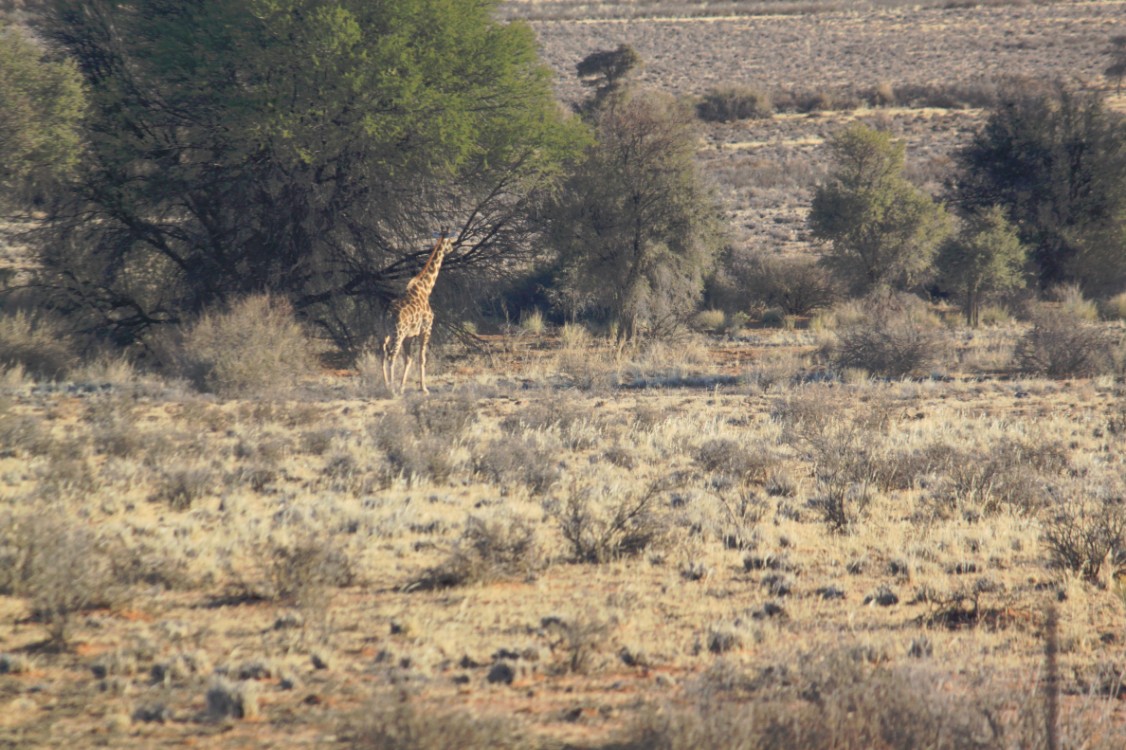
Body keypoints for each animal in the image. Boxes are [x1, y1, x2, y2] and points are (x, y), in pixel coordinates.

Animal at [380, 230, 454, 394]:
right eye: (450, 242)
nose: (451, 249)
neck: (425, 289)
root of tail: (387, 315)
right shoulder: (426, 329)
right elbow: (421, 358)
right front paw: (424, 388)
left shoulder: (409, 336)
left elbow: (408, 359)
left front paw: (402, 387)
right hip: (398, 333)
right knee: (391, 356)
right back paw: (391, 389)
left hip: (385, 334)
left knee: (382, 355)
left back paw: (387, 385)